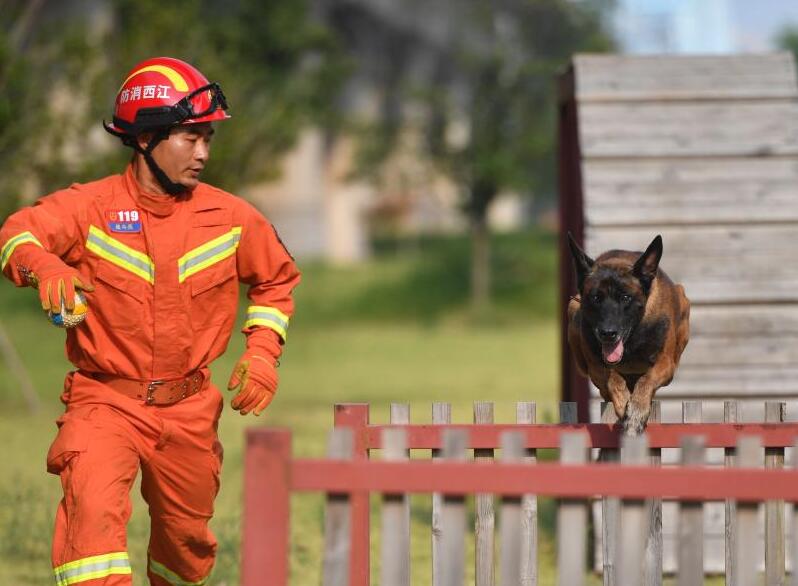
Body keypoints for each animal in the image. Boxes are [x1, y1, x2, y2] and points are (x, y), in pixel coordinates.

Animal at [564, 233, 692, 434]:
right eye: (595, 298)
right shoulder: (595, 366)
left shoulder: (665, 364)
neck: (632, 342)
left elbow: (647, 378)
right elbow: (613, 378)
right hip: (573, 308)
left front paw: (636, 411)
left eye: (625, 298)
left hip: (683, 300)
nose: (608, 333)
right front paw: (624, 402)